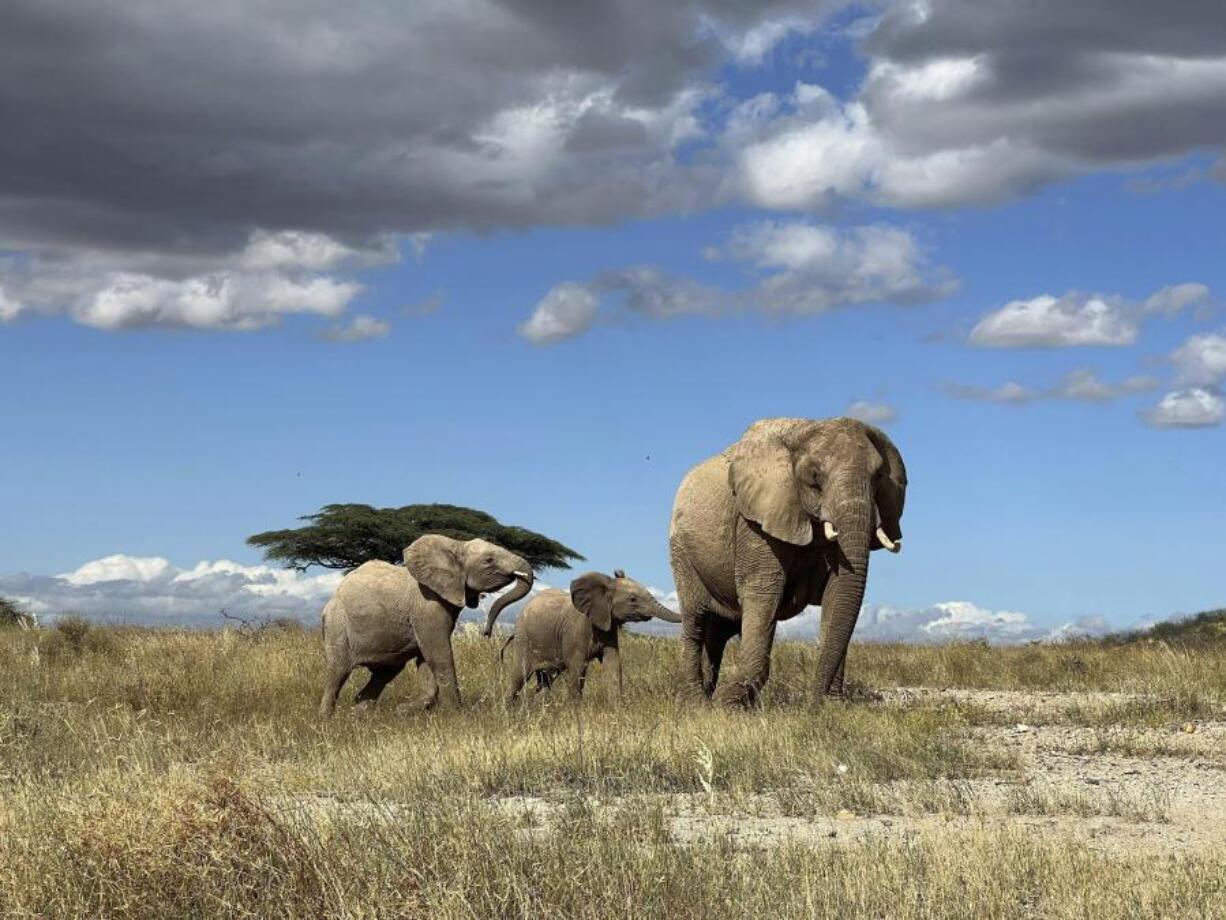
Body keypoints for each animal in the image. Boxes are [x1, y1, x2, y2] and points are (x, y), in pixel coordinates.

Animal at [316, 532, 532, 721]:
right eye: (489, 560)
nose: (486, 632)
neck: (456, 545)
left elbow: (426, 658)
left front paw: (404, 710)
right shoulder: (427, 605)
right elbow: (438, 654)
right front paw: (457, 714)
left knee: (385, 673)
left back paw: (359, 716)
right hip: (338, 626)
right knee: (338, 671)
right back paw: (326, 720)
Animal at [502, 569, 686, 706]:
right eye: (633, 599)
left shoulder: (609, 627)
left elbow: (613, 664)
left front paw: (617, 709)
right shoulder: (576, 630)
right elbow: (578, 668)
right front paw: (574, 712)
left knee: (546, 680)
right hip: (524, 639)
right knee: (519, 675)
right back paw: (509, 710)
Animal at [666, 421, 907, 711]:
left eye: (879, 477)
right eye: (814, 476)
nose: (814, 705)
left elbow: (837, 596)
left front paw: (833, 706)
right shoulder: (754, 523)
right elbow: (763, 593)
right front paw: (728, 706)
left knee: (719, 632)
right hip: (681, 551)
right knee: (696, 620)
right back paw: (697, 704)